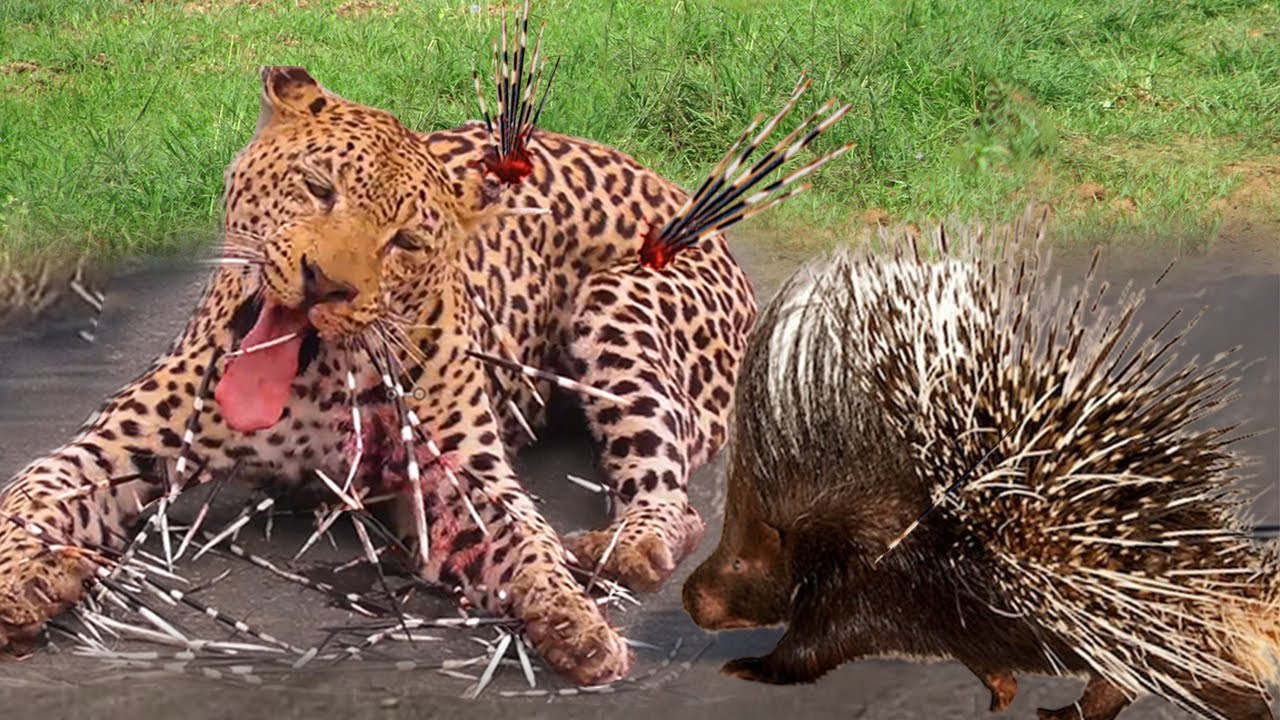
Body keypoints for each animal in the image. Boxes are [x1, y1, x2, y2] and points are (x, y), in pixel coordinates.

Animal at [0, 65, 761, 685]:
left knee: (674, 500)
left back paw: (623, 548)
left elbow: (526, 544)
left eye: (406, 242)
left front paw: (573, 621)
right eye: (316, 186)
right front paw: (26, 584)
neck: (308, 387)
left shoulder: (460, 483)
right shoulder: (111, 448)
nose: (325, 283)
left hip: (617, 303)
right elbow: (30, 493)